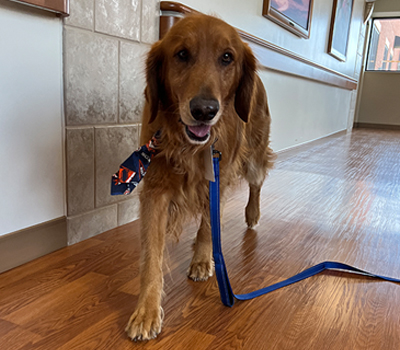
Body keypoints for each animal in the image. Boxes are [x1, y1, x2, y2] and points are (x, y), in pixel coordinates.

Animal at [126, 14, 276, 342]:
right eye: (182, 54)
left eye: (227, 57)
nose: (204, 110)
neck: (190, 148)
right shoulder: (155, 189)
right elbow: (151, 257)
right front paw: (146, 312)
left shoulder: (218, 175)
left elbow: (209, 225)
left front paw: (203, 260)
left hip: (254, 155)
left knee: (256, 184)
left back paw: (252, 213)